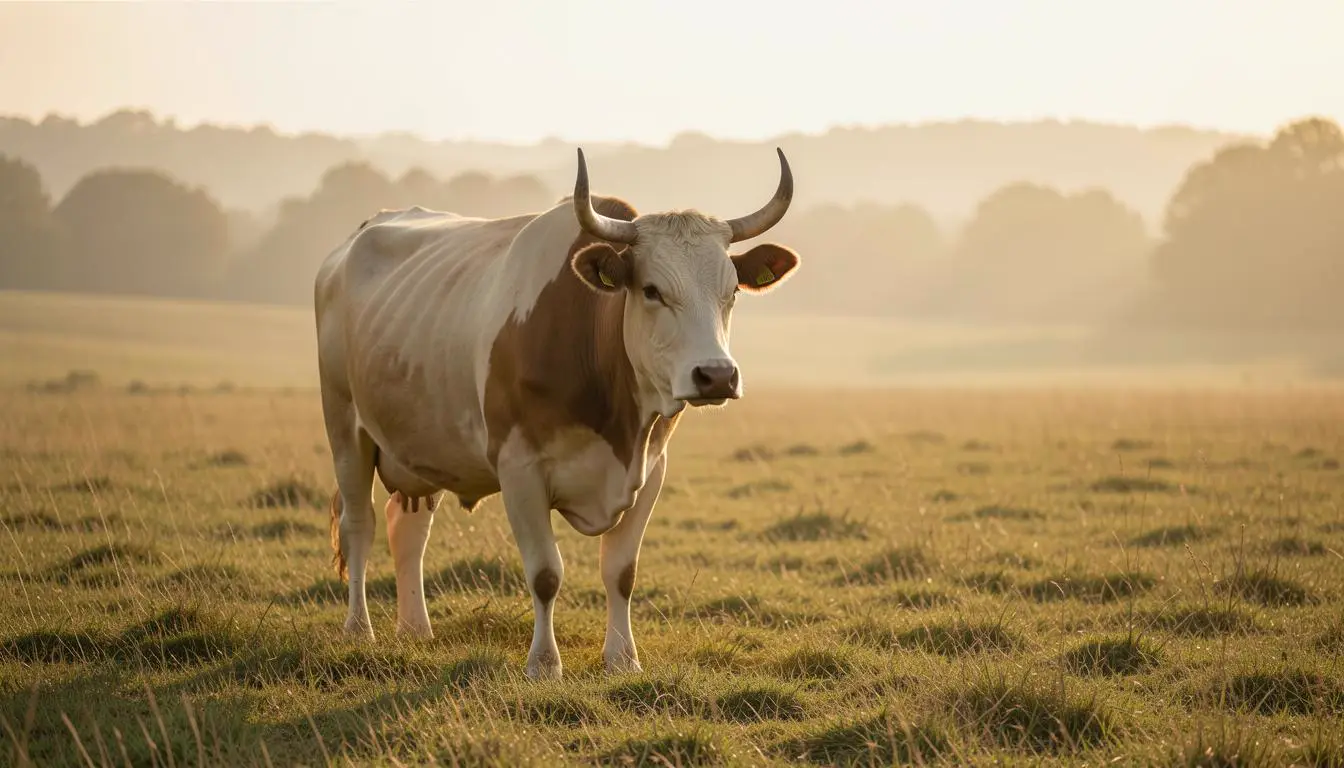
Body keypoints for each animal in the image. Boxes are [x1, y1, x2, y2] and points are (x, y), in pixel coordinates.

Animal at [314, 148, 800, 679]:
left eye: (731, 291)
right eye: (651, 290)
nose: (715, 375)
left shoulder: (651, 470)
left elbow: (621, 573)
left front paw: (622, 659)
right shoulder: (519, 468)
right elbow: (546, 574)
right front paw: (544, 664)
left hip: (423, 445)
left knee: (408, 529)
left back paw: (415, 629)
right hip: (346, 429)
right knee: (360, 525)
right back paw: (359, 630)